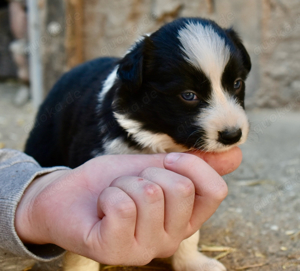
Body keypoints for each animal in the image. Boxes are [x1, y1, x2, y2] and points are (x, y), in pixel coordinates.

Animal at [25, 17, 251, 271]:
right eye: (188, 95)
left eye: (237, 83)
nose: (232, 135)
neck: (156, 136)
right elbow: (80, 252)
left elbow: (189, 234)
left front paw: (192, 262)